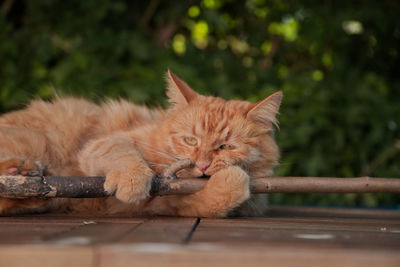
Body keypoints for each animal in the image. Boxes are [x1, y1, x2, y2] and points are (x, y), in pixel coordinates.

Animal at [0, 70, 282, 218]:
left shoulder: (164, 205)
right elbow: (125, 155)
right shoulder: (103, 144)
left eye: (227, 147)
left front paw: (229, 182)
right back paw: (19, 170)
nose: (202, 165)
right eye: (190, 140)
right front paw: (133, 179)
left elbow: (211, 200)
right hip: (37, 141)